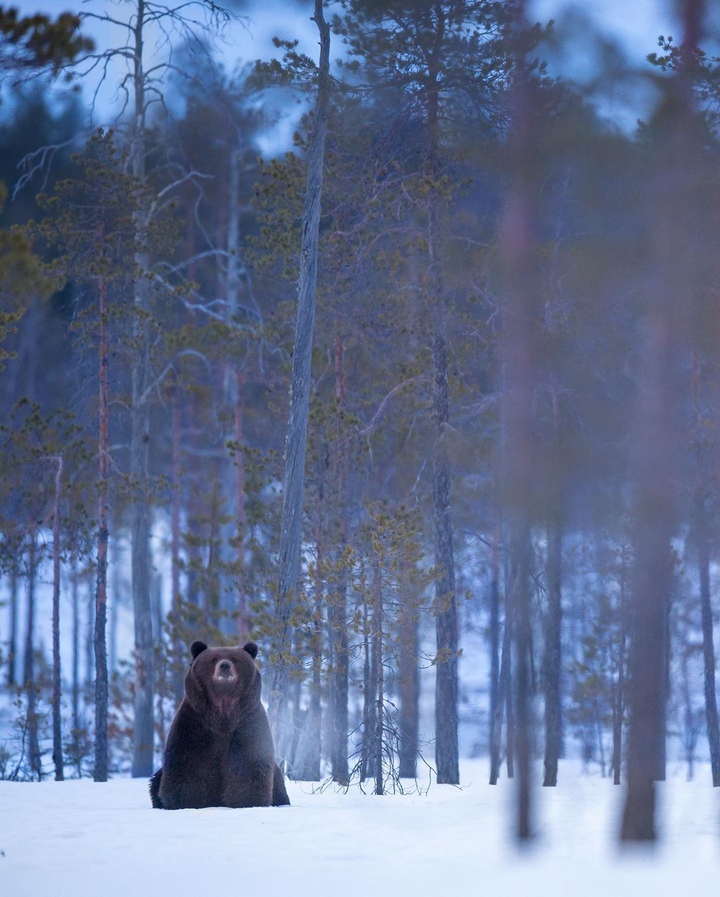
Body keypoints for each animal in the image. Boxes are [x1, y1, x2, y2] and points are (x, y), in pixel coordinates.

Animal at [149, 640, 290, 809]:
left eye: (235, 659)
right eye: (213, 659)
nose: (224, 666)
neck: (223, 711)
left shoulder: (247, 722)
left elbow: (249, 762)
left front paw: (247, 800)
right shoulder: (194, 722)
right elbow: (185, 761)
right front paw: (185, 801)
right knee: (156, 780)